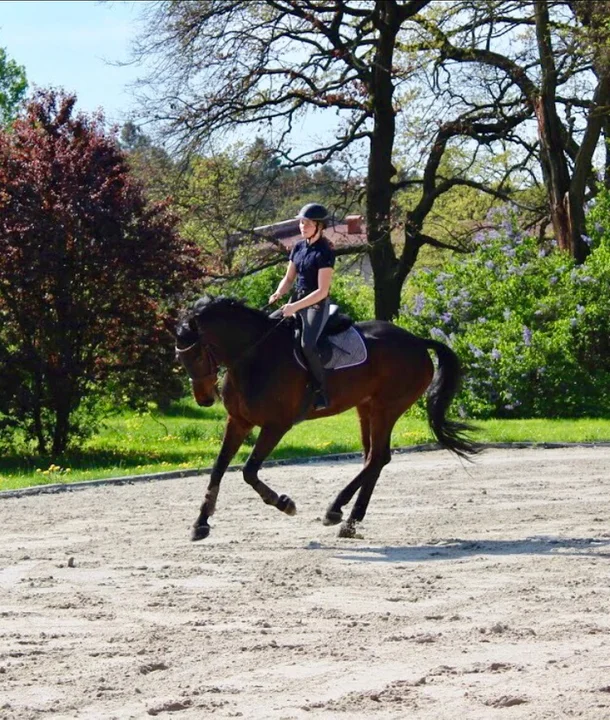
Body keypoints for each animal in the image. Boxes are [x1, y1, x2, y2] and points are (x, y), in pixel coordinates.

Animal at [173, 294, 478, 540]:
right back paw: (350, 522)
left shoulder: (276, 425)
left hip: (387, 408)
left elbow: (248, 471)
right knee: (374, 458)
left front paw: (284, 503)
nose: (204, 399)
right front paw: (200, 524)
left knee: (377, 458)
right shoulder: (238, 422)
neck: (254, 356)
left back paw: (335, 510)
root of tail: (417, 341)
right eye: (181, 359)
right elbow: (218, 468)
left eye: (197, 355)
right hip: (366, 408)